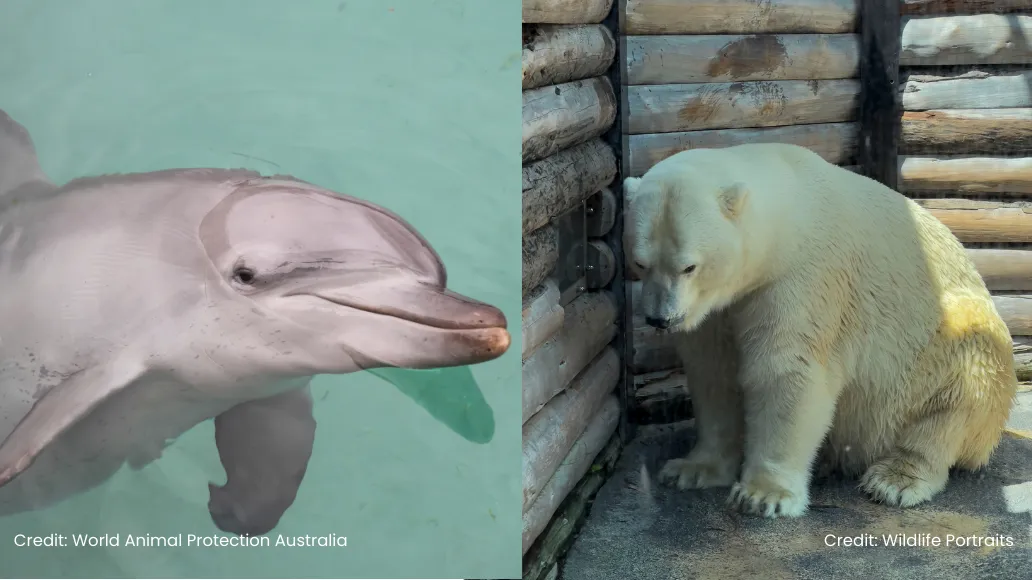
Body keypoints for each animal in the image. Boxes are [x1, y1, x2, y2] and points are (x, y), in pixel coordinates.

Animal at [624, 143, 1017, 518]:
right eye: (641, 263)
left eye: (689, 266)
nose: (661, 319)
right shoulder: (715, 309)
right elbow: (714, 374)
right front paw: (690, 469)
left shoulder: (805, 280)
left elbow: (786, 371)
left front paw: (763, 495)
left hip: (942, 347)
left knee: (960, 381)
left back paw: (894, 479)